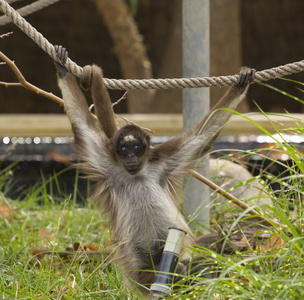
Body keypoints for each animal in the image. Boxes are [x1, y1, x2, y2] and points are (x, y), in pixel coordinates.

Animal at [54, 45, 254, 298]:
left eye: (136, 148)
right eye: (124, 149)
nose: (130, 157)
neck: (137, 173)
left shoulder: (163, 162)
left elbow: (202, 136)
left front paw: (241, 85)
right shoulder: (107, 163)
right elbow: (80, 122)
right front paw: (61, 67)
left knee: (190, 265)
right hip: (141, 270)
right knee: (173, 269)